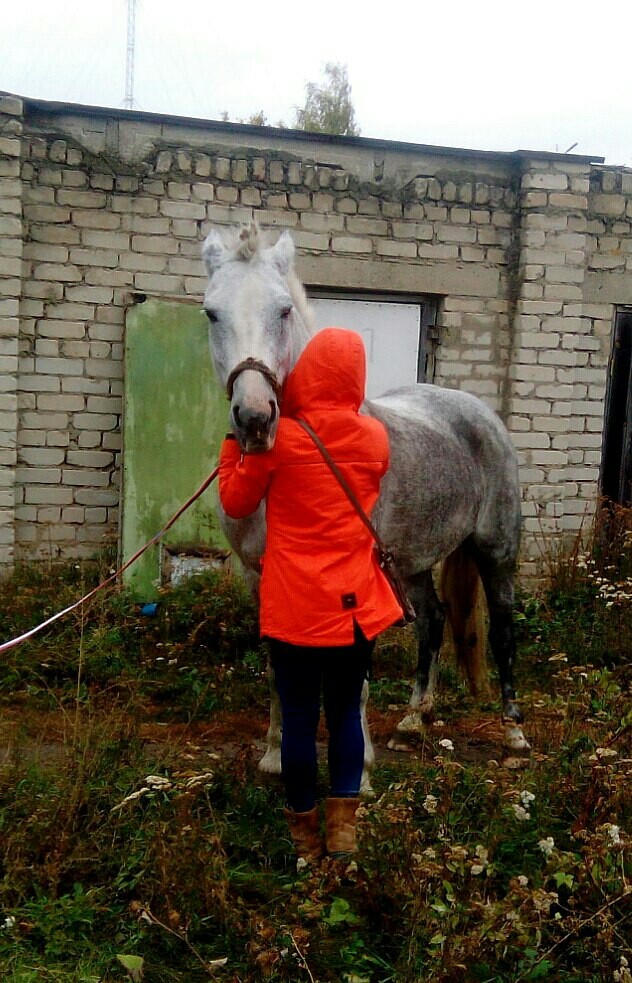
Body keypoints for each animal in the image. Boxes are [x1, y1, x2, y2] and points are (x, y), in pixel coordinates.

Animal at [201, 227, 528, 780]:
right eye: (211, 313)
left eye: (284, 310)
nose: (255, 418)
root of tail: (477, 411)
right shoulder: (259, 576)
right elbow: (279, 668)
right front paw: (275, 755)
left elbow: (354, 674)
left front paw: (359, 768)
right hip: (411, 562)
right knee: (433, 620)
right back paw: (413, 723)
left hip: (496, 552)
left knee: (503, 631)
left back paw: (513, 733)